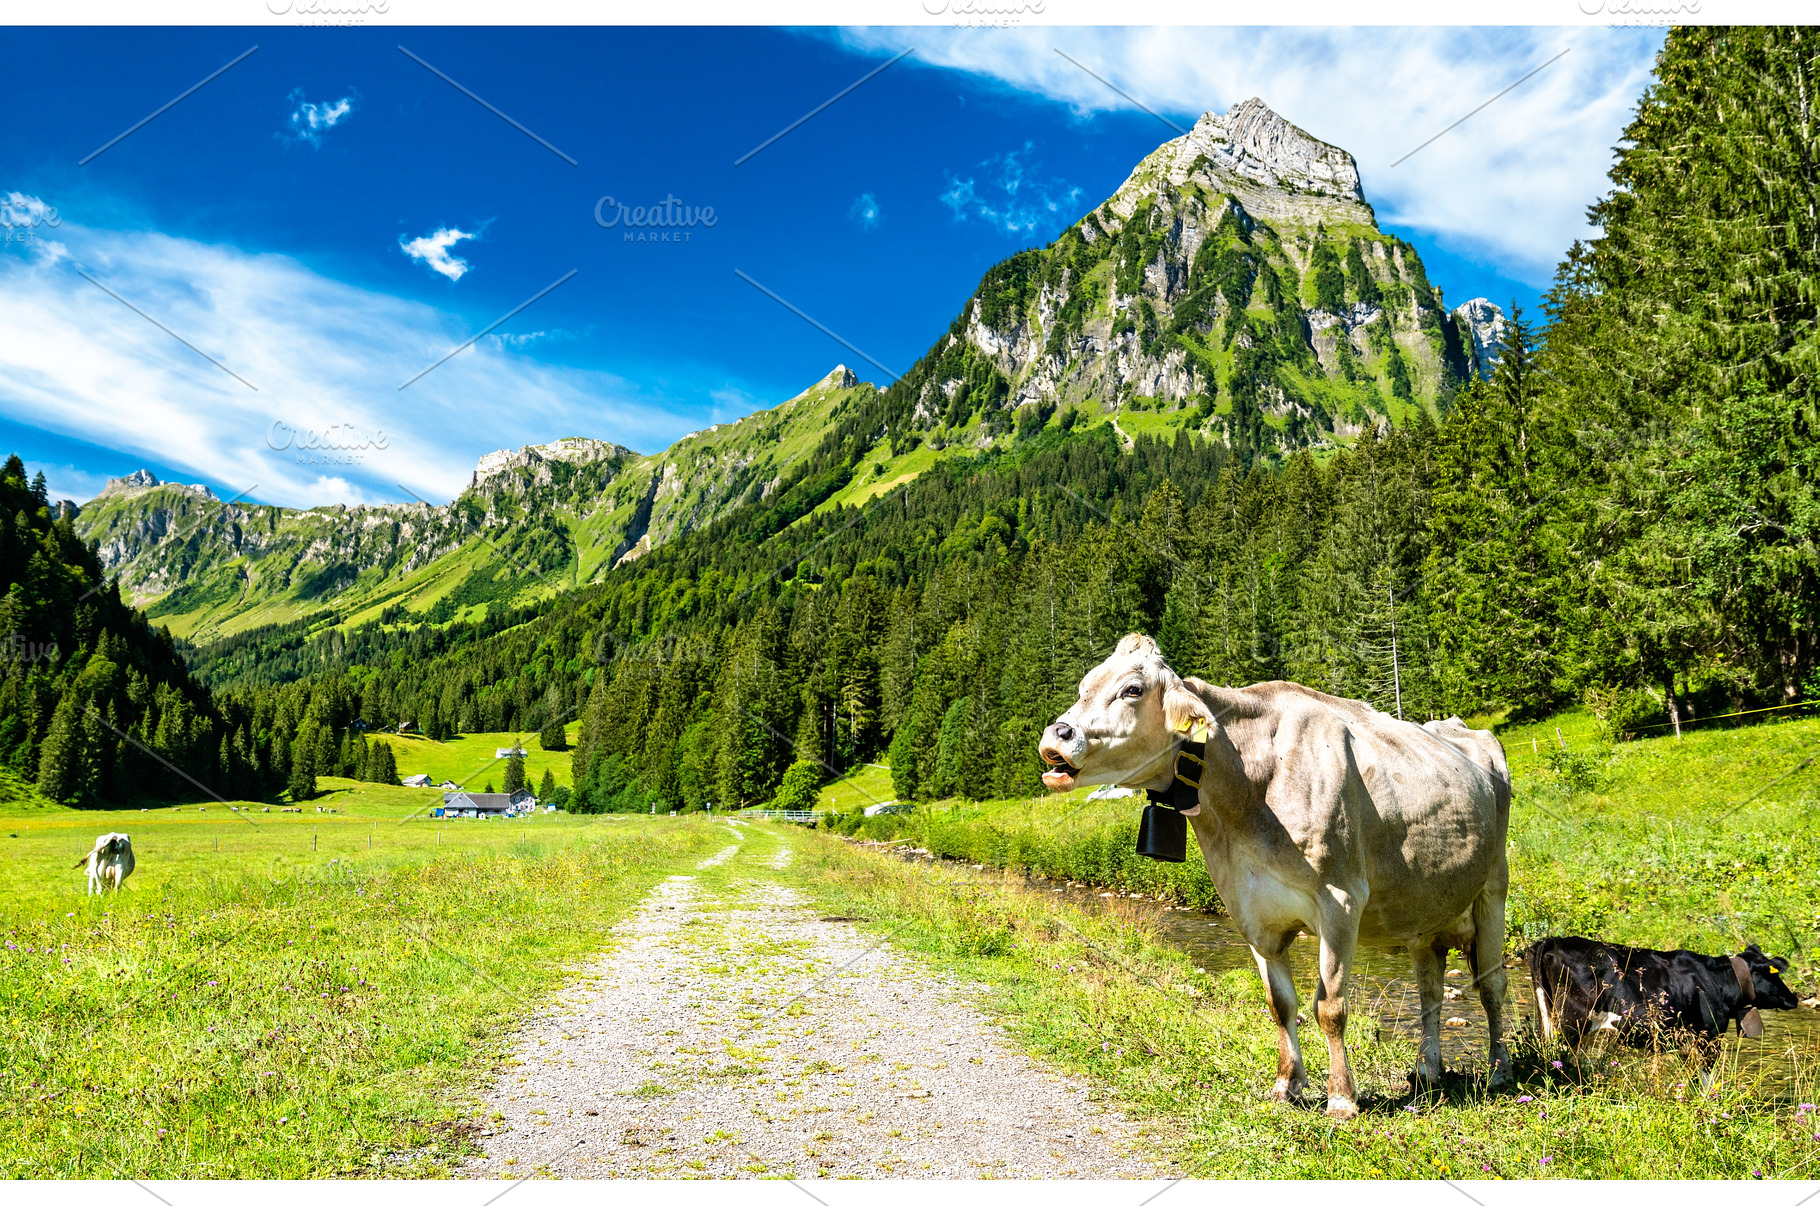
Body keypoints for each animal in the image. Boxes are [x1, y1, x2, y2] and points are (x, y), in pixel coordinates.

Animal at [1037, 634, 1513, 1119]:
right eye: (1084, 686)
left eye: (1132, 689)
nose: (1056, 735)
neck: (1248, 789)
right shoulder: (1251, 911)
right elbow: (1280, 1004)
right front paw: (1287, 1085)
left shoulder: (1342, 899)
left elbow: (1330, 1006)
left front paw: (1341, 1098)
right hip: (1424, 909)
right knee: (1430, 987)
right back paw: (1428, 1069)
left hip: (1493, 887)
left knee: (1492, 984)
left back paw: (1499, 1072)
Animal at [1527, 936, 1800, 1059]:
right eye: (1774, 974)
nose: (1794, 998)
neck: (1716, 980)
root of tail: (1553, 940)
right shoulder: (1709, 1036)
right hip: (1572, 1021)